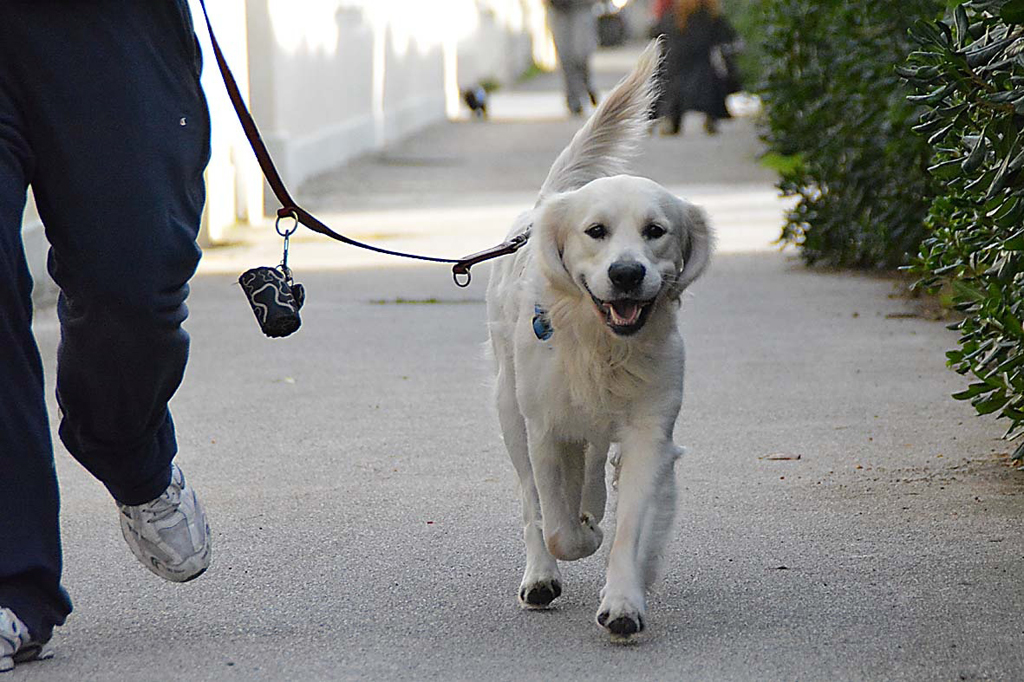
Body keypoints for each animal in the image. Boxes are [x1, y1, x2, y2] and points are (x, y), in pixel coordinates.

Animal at [485, 42, 712, 638]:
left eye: (656, 231)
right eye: (596, 232)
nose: (627, 273)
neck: (604, 345)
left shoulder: (649, 429)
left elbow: (632, 524)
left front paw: (626, 599)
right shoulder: (543, 428)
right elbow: (558, 525)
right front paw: (579, 538)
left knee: (590, 468)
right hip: (509, 409)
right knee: (533, 503)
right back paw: (540, 574)